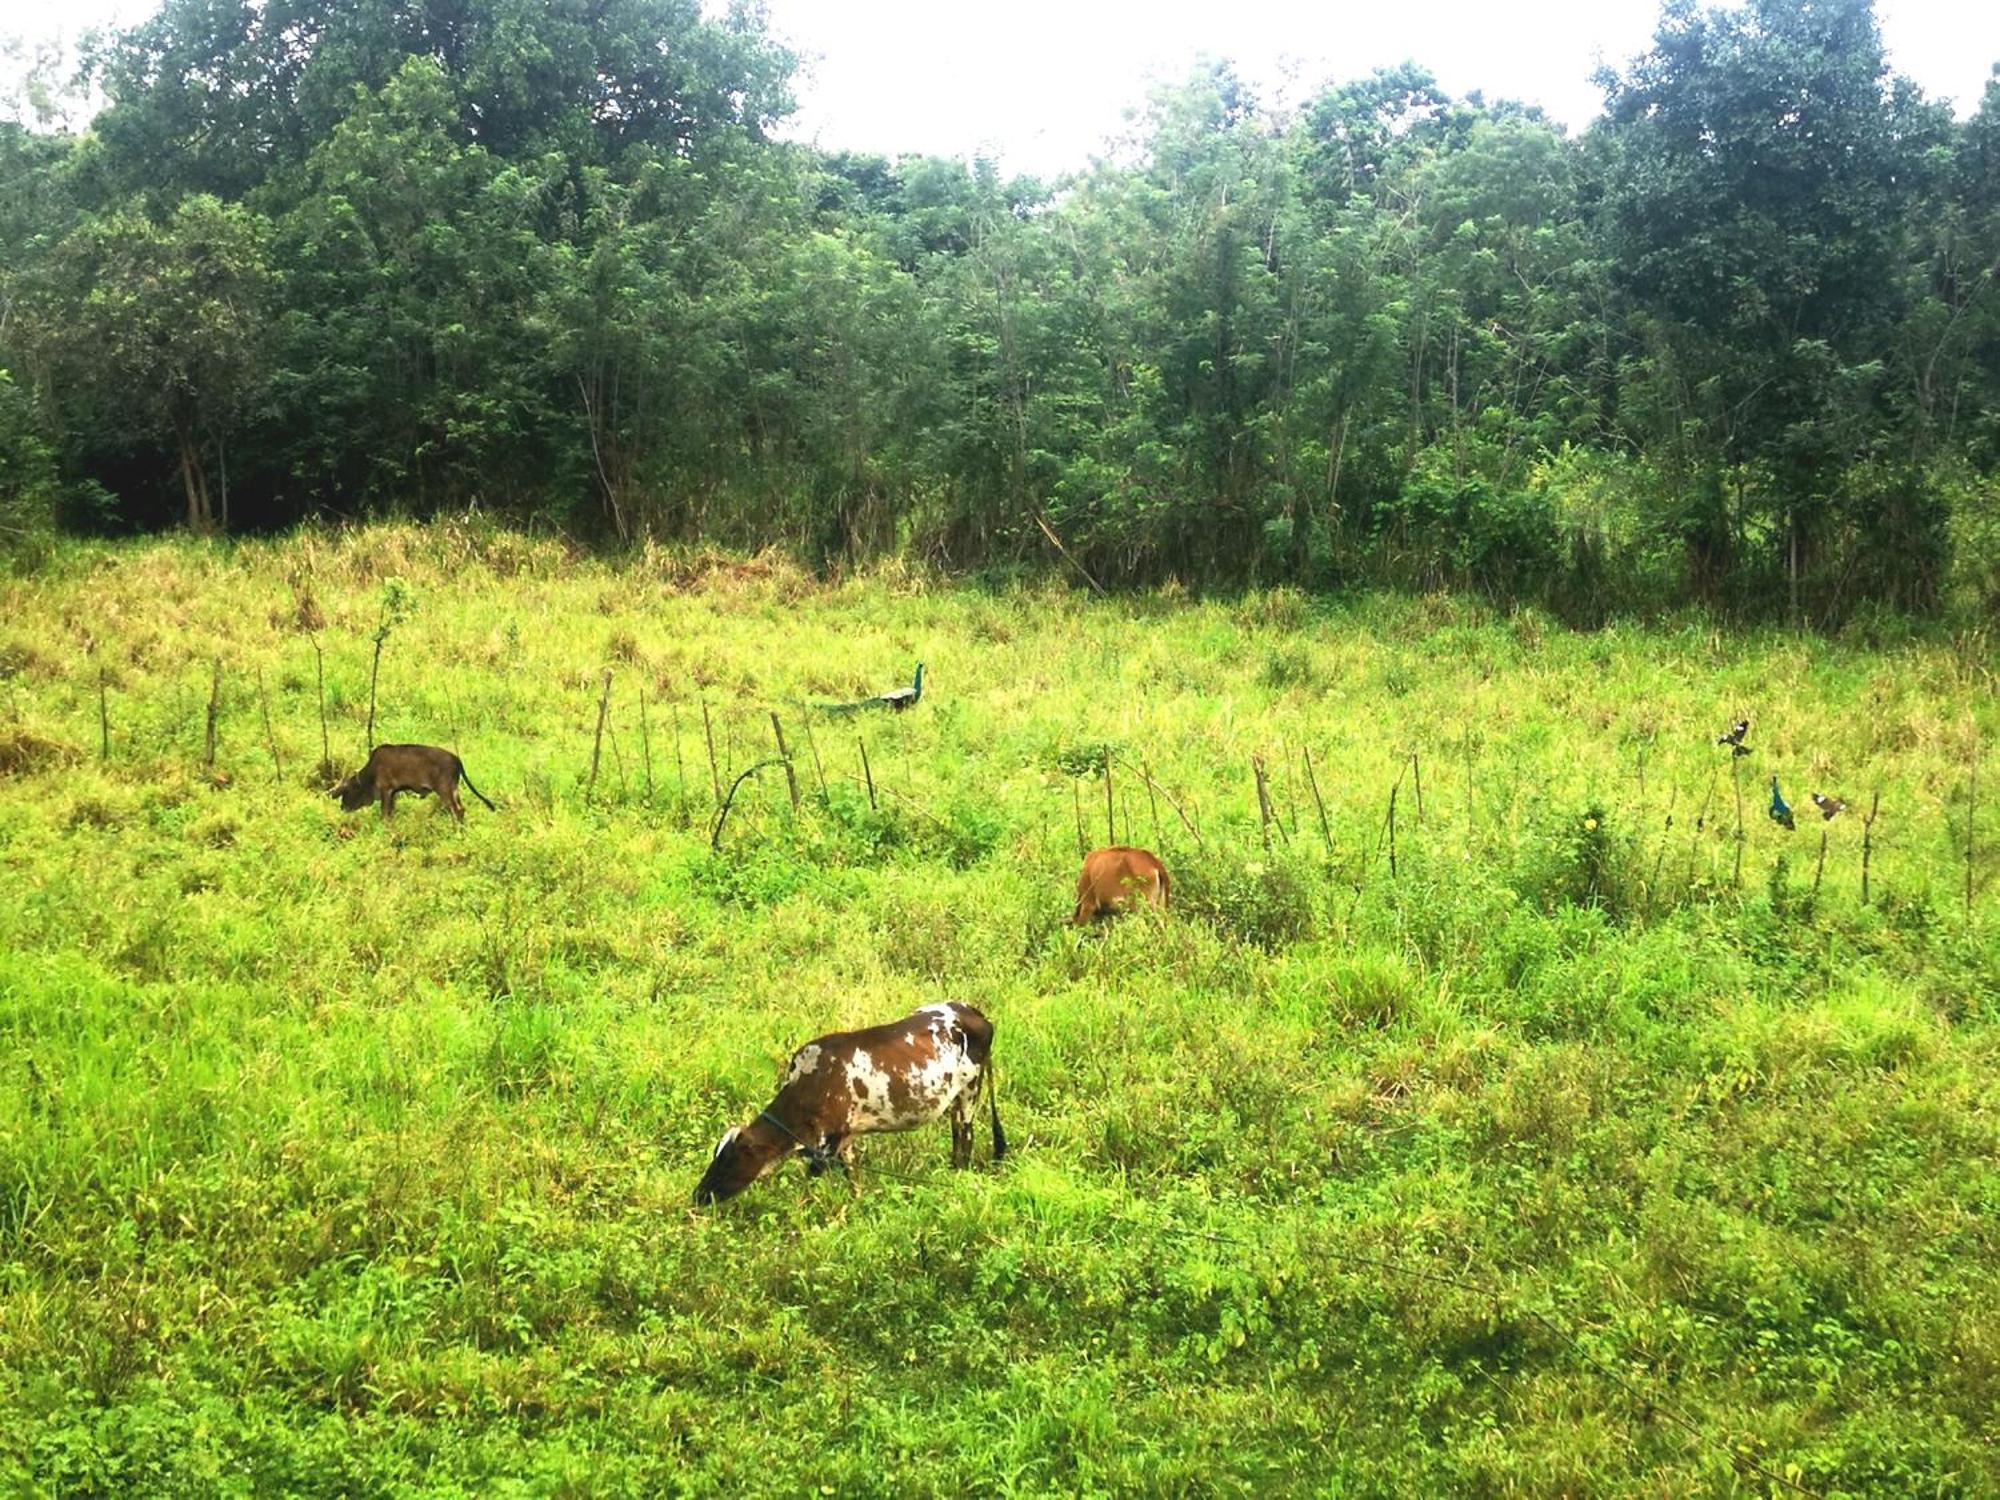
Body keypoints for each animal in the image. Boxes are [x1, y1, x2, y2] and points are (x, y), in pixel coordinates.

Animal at [332, 748, 496, 828]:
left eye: (347, 791)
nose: (342, 807)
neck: (371, 773)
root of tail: (457, 760)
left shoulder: (386, 789)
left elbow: (384, 814)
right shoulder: (393, 792)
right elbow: (391, 813)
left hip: (444, 788)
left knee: (457, 810)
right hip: (454, 788)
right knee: (461, 809)